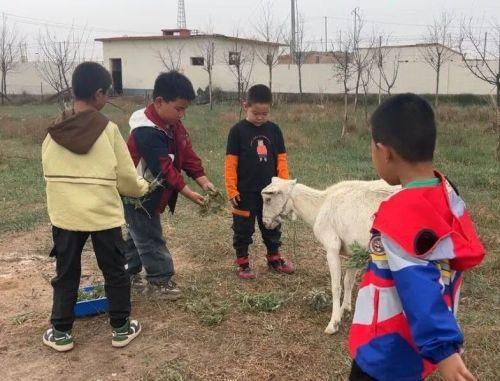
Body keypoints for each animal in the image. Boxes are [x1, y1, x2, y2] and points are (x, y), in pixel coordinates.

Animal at [262, 176, 398, 332]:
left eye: (268, 199)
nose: (265, 223)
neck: (319, 206)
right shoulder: (354, 251)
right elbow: (348, 281)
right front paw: (345, 308)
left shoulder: (332, 247)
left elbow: (336, 286)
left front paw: (334, 323)